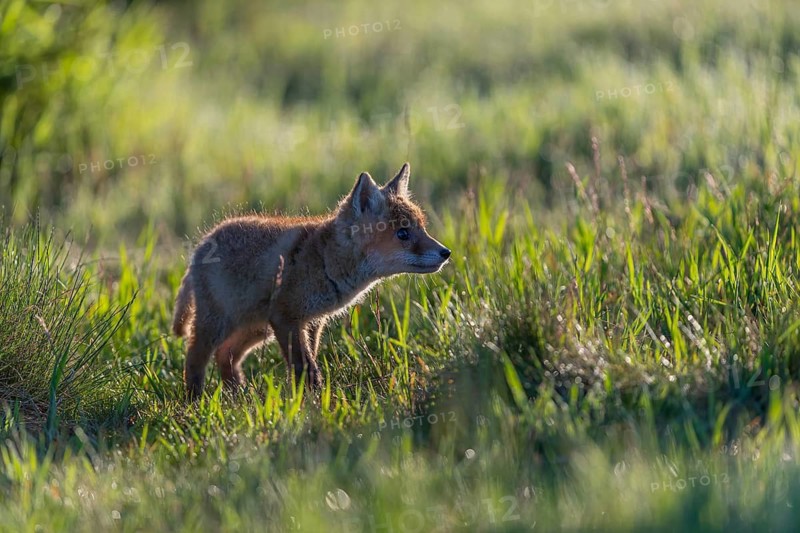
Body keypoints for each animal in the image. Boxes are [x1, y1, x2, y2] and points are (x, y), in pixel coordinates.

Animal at [172, 163, 451, 400]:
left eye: (422, 228)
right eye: (403, 234)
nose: (446, 253)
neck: (325, 261)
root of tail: (201, 245)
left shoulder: (311, 322)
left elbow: (309, 362)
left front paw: (307, 400)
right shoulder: (287, 319)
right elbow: (305, 368)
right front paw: (313, 403)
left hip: (256, 328)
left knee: (225, 355)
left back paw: (239, 396)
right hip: (219, 324)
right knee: (194, 358)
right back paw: (194, 402)